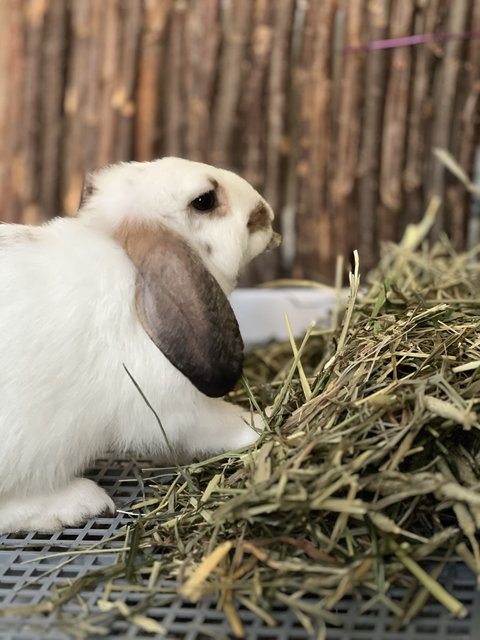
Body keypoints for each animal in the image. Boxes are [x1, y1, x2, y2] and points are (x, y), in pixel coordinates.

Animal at [0, 158, 280, 532]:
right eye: (205, 200)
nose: (265, 212)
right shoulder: (174, 406)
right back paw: (79, 502)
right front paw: (264, 419)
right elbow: (219, 423)